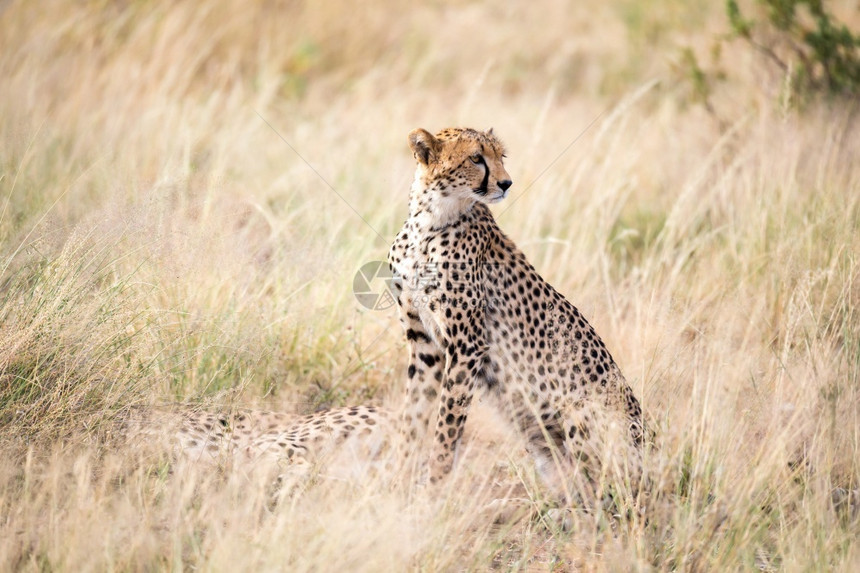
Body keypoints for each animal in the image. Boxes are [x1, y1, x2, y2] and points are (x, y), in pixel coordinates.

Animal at [390, 127, 644, 502]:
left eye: (500, 157)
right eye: (476, 158)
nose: (507, 183)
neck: (430, 220)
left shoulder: (468, 346)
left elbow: (446, 427)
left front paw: (432, 490)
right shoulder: (425, 345)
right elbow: (414, 417)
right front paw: (397, 480)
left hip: (582, 413)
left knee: (612, 493)